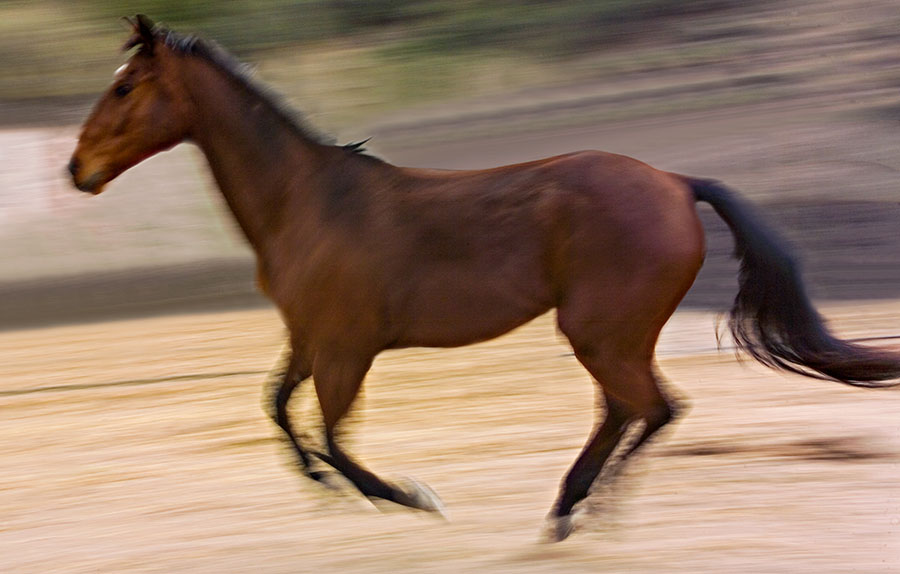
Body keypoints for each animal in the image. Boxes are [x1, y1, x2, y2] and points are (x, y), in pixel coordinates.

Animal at [68, 16, 900, 541]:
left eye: (123, 88)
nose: (77, 170)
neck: (307, 202)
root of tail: (674, 181)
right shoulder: (310, 338)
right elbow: (277, 409)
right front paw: (324, 488)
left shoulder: (346, 348)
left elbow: (333, 437)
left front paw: (411, 499)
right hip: (611, 335)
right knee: (630, 410)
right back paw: (567, 510)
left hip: (600, 331)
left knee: (652, 408)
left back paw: (584, 513)